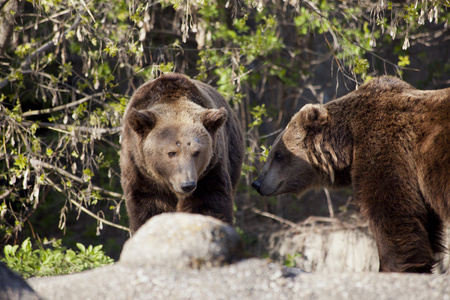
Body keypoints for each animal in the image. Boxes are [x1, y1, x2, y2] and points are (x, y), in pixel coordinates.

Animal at [119, 73, 244, 232]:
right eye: (171, 153)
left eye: (197, 152)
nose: (187, 185)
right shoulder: (139, 171)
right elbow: (147, 210)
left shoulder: (210, 172)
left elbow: (210, 205)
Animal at [253, 76, 450, 274]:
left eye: (278, 155)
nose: (257, 183)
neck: (349, 143)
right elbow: (425, 225)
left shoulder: (386, 150)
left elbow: (393, 215)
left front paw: (392, 268)